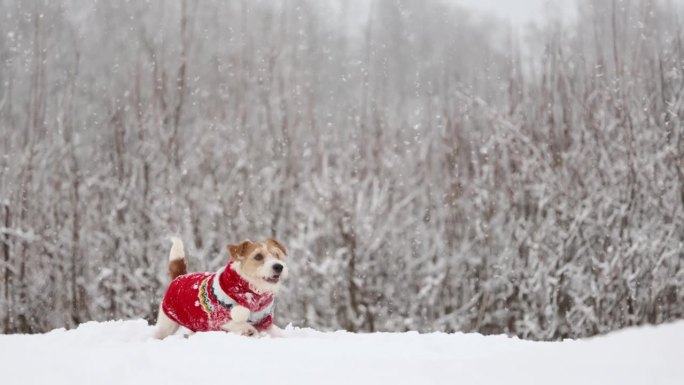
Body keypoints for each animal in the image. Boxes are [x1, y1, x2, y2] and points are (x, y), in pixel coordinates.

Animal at [154, 236, 288, 338]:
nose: (279, 266)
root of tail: (179, 276)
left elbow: (276, 331)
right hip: (166, 324)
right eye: (258, 256)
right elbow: (235, 322)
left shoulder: (264, 320)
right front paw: (247, 329)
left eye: (277, 255)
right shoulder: (218, 317)